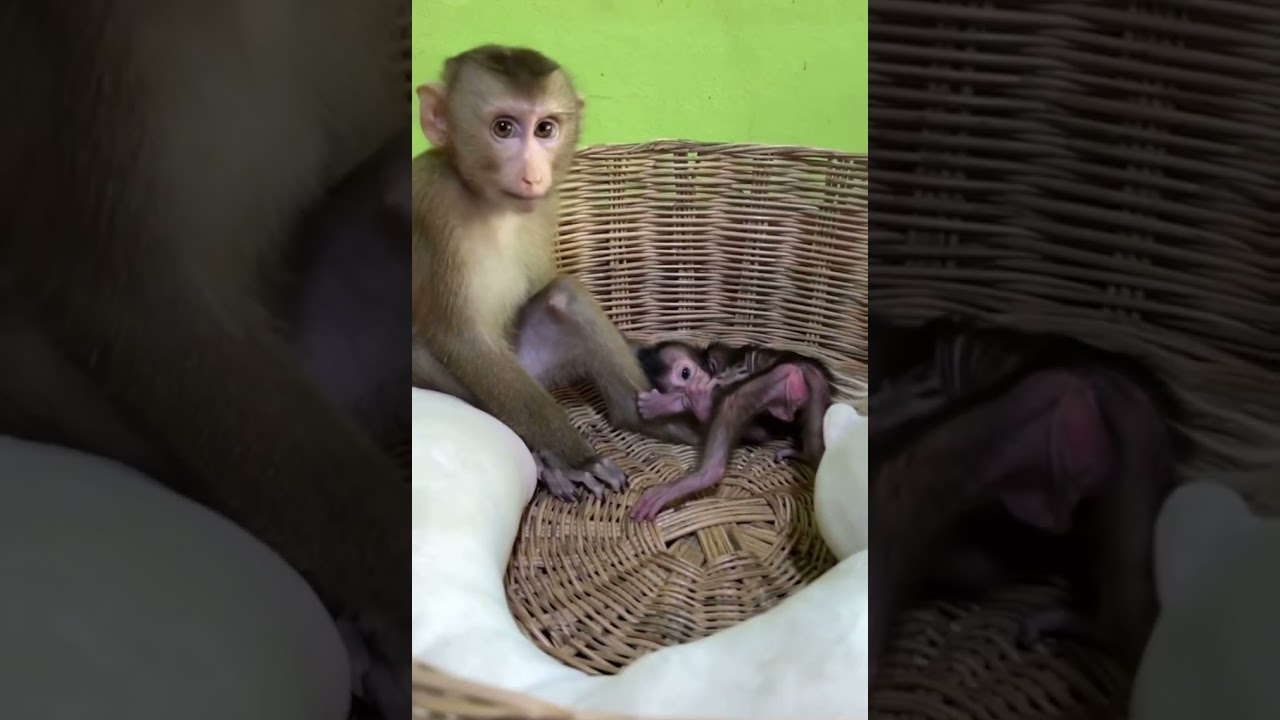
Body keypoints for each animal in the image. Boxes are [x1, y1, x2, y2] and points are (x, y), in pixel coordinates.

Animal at [411, 45, 700, 501]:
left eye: (545, 128)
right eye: (504, 128)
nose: (533, 174)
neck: (488, 204)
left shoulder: (543, 208)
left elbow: (547, 282)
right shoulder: (434, 203)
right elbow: (462, 339)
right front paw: (576, 457)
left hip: (532, 366)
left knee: (565, 296)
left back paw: (641, 417)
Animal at [629, 340, 834, 521]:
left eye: (685, 373)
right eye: (678, 386)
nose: (689, 390)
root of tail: (806, 366)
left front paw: (673, 403)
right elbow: (756, 431)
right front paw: (689, 402)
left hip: (783, 374)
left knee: (732, 401)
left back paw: (704, 474)